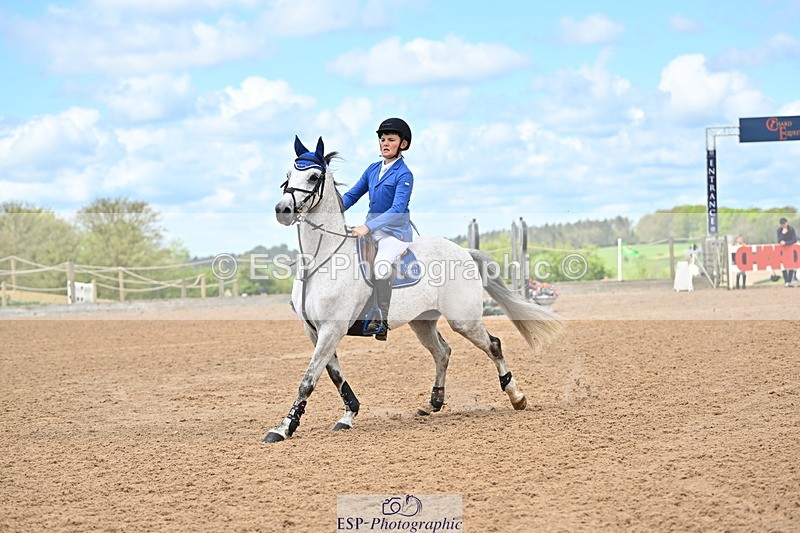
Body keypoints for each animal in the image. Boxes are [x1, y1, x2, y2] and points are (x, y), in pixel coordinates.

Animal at [264, 136, 563, 443]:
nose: (282, 210)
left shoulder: (331, 328)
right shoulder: (315, 330)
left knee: (492, 345)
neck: (320, 261)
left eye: (313, 176)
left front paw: (283, 428)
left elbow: (308, 380)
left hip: (464, 320)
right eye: (288, 175)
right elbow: (334, 376)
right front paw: (348, 415)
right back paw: (433, 403)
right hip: (422, 322)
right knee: (442, 352)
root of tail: (463, 251)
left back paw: (516, 397)